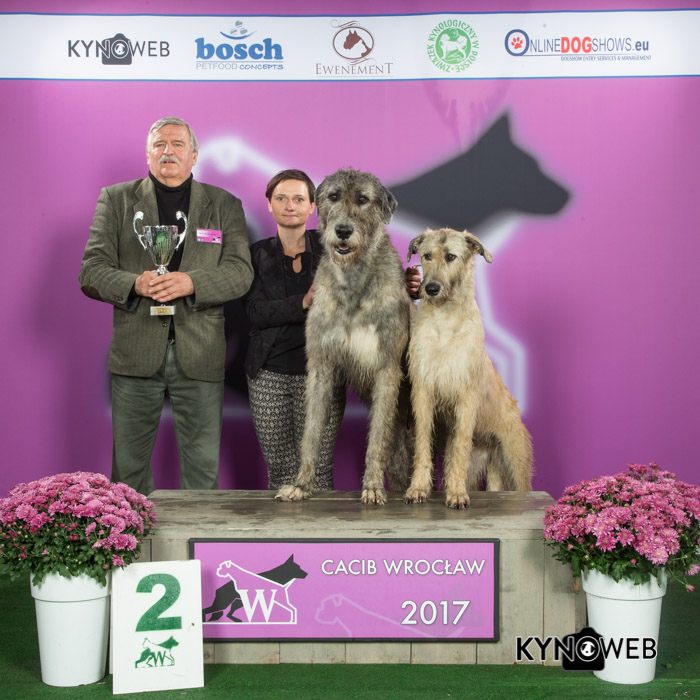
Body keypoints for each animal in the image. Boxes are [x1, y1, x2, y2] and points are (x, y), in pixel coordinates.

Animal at [276, 168, 413, 505]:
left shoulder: (387, 369)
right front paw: (301, 485)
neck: (353, 282)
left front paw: (373, 486)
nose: (343, 231)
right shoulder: (321, 366)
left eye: (363, 199)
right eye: (333, 196)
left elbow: (376, 437)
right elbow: (311, 431)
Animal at [403, 228, 533, 508]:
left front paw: (456, 494)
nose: (430, 289)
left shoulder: (466, 396)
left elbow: (460, 445)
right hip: (482, 464)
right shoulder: (423, 392)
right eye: (426, 255)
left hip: (515, 459)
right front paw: (418, 488)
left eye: (451, 256)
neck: (444, 320)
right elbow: (422, 442)